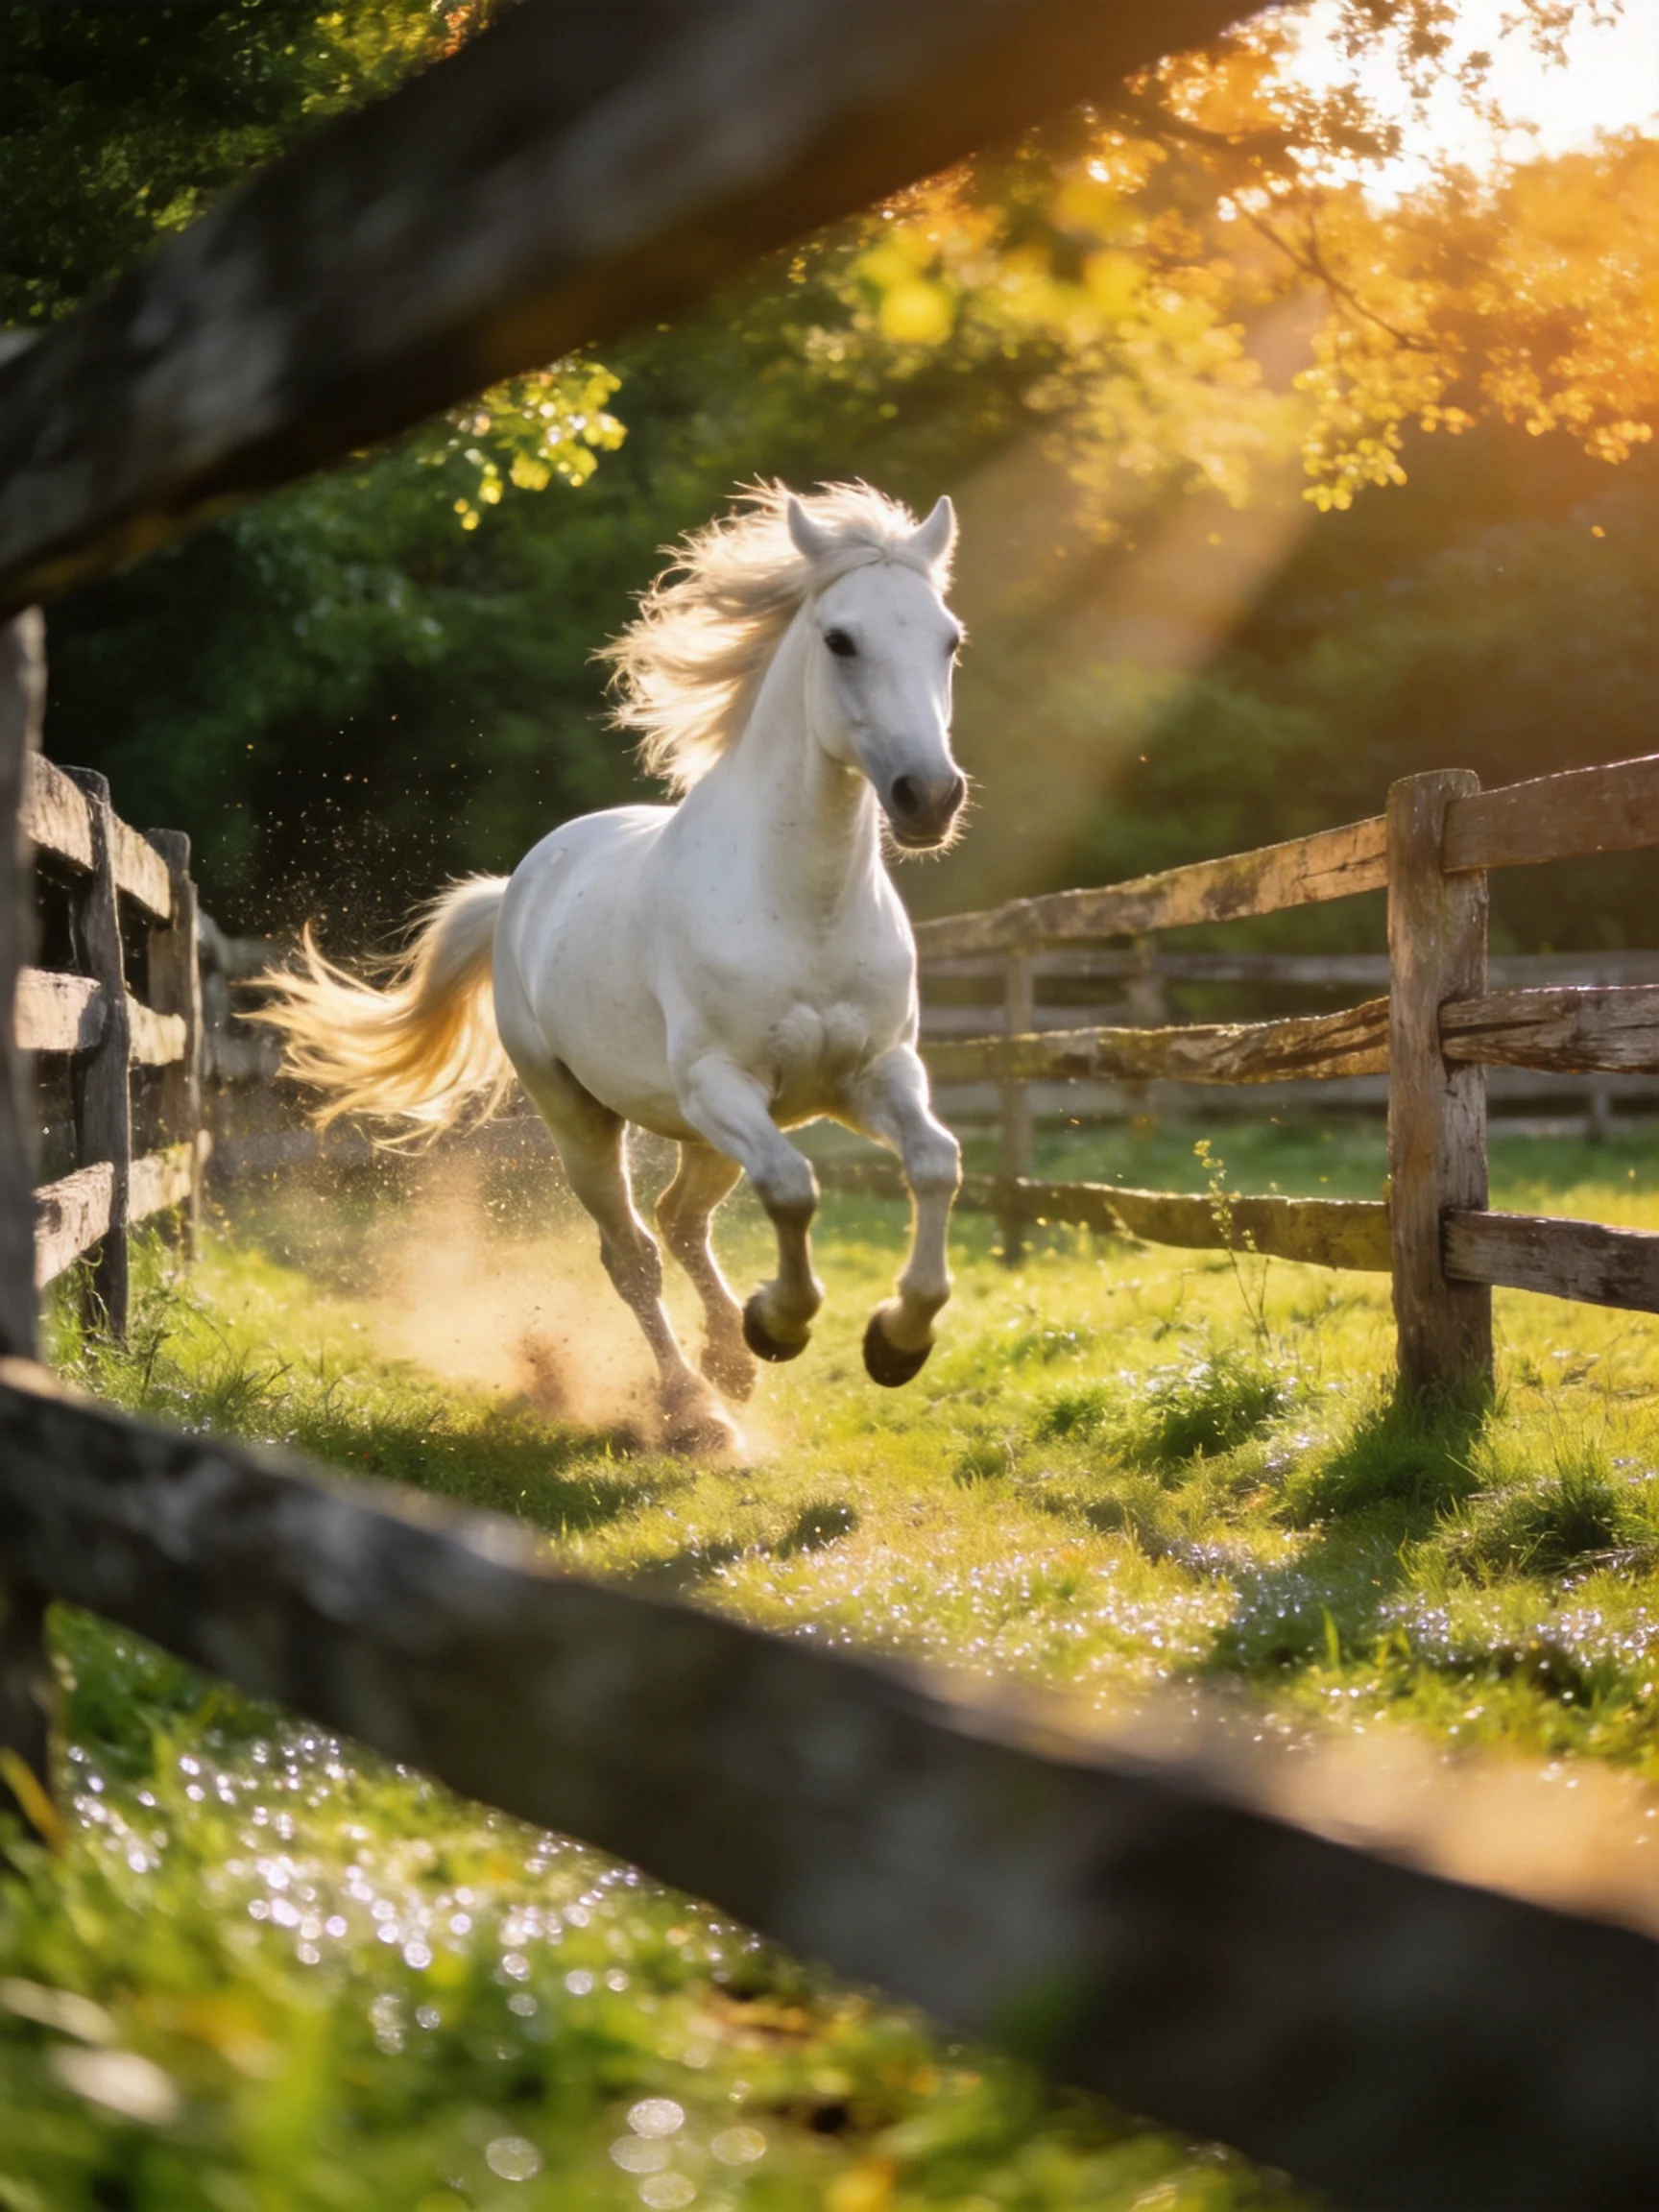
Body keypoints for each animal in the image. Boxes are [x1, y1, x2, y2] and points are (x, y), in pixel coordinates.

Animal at [257, 482, 968, 1452]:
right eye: (840, 640)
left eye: (949, 639)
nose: (929, 797)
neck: (804, 905)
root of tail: (521, 883)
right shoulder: (723, 1085)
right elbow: (792, 1188)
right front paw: (780, 1323)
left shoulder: (872, 1074)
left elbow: (935, 1162)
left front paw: (896, 1342)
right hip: (585, 1118)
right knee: (633, 1252)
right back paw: (695, 1406)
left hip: (699, 1132)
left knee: (680, 1222)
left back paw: (728, 1366)